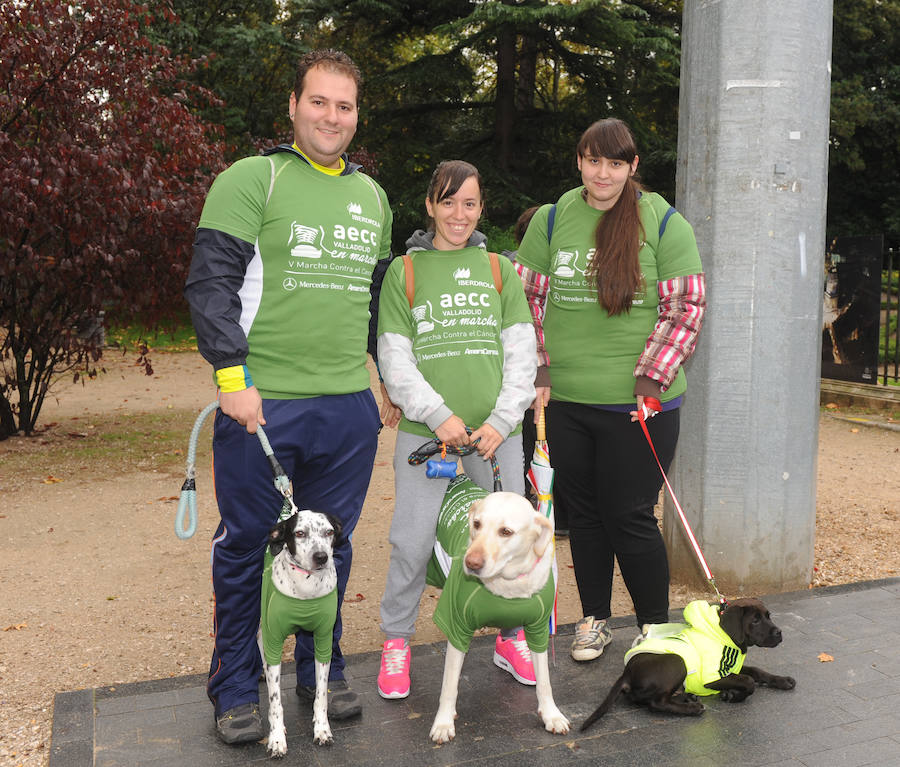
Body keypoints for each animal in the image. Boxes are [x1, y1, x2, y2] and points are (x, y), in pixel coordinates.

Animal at [260, 510, 344, 756]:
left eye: (329, 532)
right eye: (299, 533)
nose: (321, 557)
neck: (307, 588)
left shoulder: (324, 640)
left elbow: (321, 695)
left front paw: (322, 729)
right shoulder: (273, 642)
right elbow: (275, 701)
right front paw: (276, 738)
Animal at [428, 492, 568, 744]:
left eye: (506, 531)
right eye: (476, 524)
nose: (471, 563)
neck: (507, 583)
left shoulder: (538, 631)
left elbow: (544, 682)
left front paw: (551, 715)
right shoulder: (457, 629)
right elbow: (449, 685)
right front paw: (443, 722)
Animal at [584, 596, 796, 728]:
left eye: (768, 616)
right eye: (755, 620)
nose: (779, 633)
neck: (724, 636)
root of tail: (626, 673)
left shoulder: (731, 667)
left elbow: (757, 671)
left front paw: (782, 680)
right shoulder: (712, 676)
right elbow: (749, 681)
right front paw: (733, 695)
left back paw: (688, 697)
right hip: (677, 662)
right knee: (654, 702)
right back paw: (692, 708)